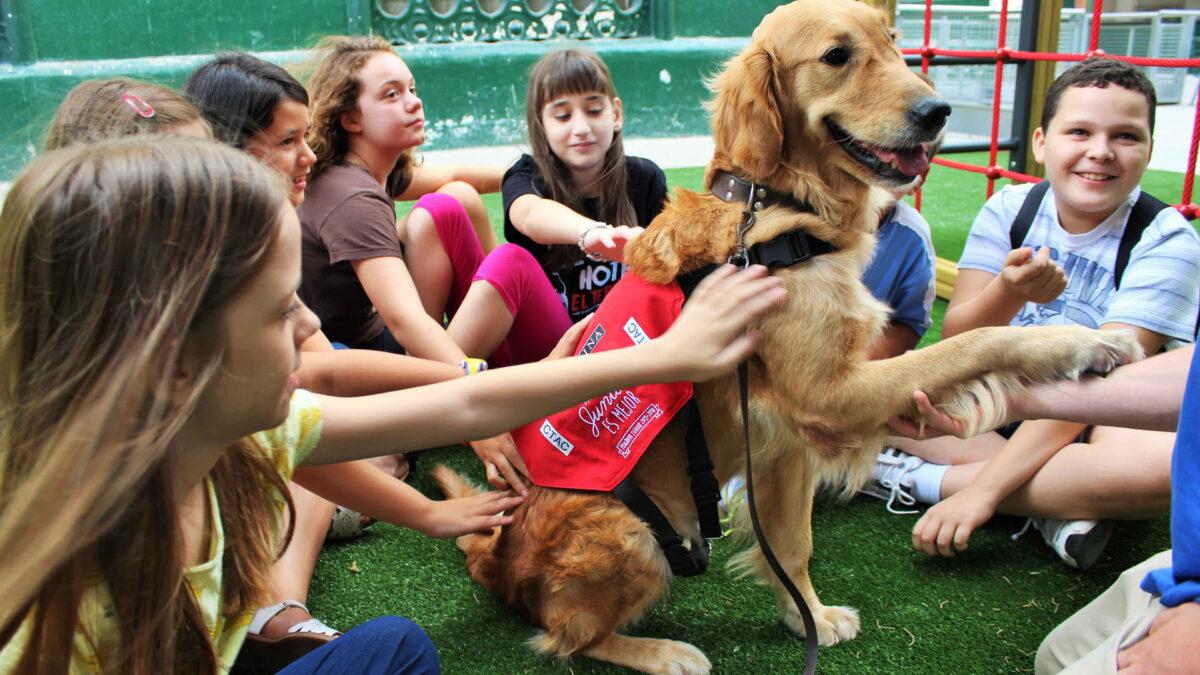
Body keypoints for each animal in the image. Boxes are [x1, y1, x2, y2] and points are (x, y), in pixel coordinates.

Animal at [436, 2, 1137, 667]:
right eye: (836, 56)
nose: (937, 111)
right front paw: (1081, 345)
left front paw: (809, 618)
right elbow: (975, 341)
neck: (779, 211)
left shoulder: (785, 446)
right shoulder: (831, 393)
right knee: (567, 636)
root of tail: (496, 560)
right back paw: (663, 652)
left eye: (895, 45)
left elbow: (792, 546)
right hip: (632, 534)